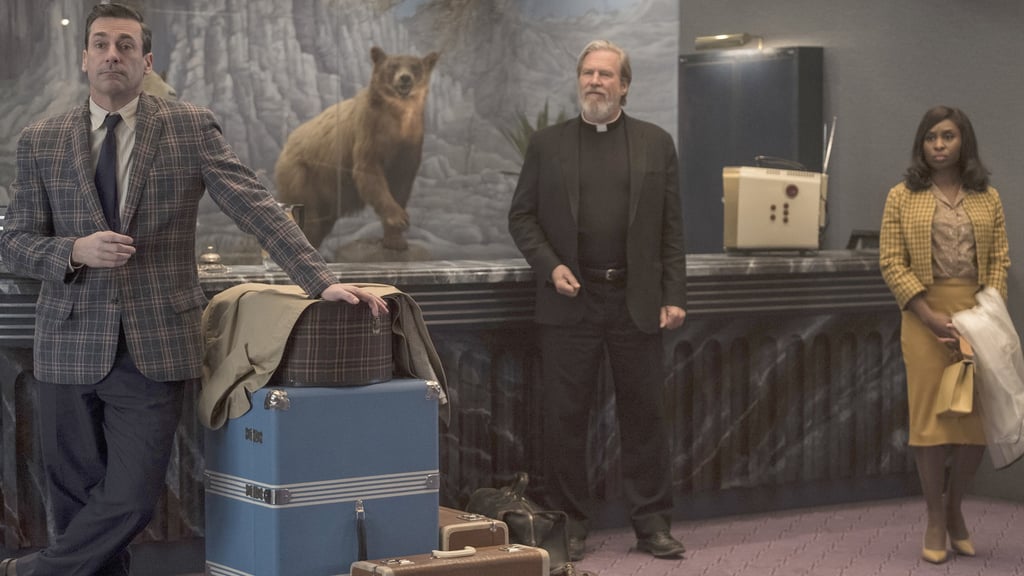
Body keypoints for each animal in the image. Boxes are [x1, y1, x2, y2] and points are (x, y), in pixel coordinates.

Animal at [276, 46, 440, 249]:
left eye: (415, 66)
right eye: (393, 66)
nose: (405, 78)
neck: (397, 116)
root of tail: (285, 146)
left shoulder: (410, 142)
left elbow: (401, 184)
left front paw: (395, 239)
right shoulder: (368, 130)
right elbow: (368, 171)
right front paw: (398, 217)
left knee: (322, 223)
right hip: (302, 176)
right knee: (310, 219)